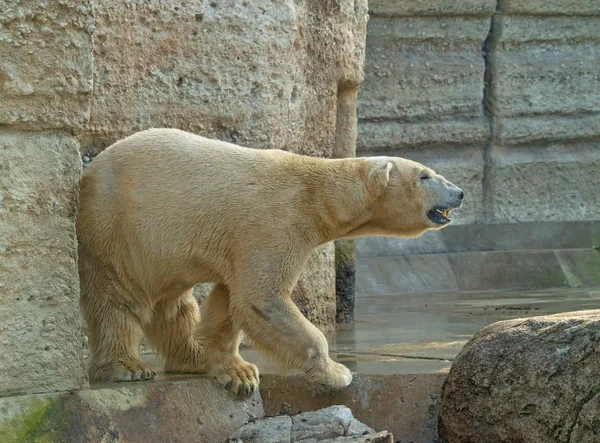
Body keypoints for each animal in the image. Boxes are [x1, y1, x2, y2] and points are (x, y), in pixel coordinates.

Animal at [77, 128, 464, 396]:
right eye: (425, 175)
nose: (459, 192)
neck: (315, 195)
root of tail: (88, 172)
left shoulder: (241, 243)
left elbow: (229, 300)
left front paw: (237, 372)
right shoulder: (274, 222)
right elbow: (263, 299)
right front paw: (337, 372)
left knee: (174, 305)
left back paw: (193, 356)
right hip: (117, 228)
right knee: (118, 297)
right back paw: (128, 367)